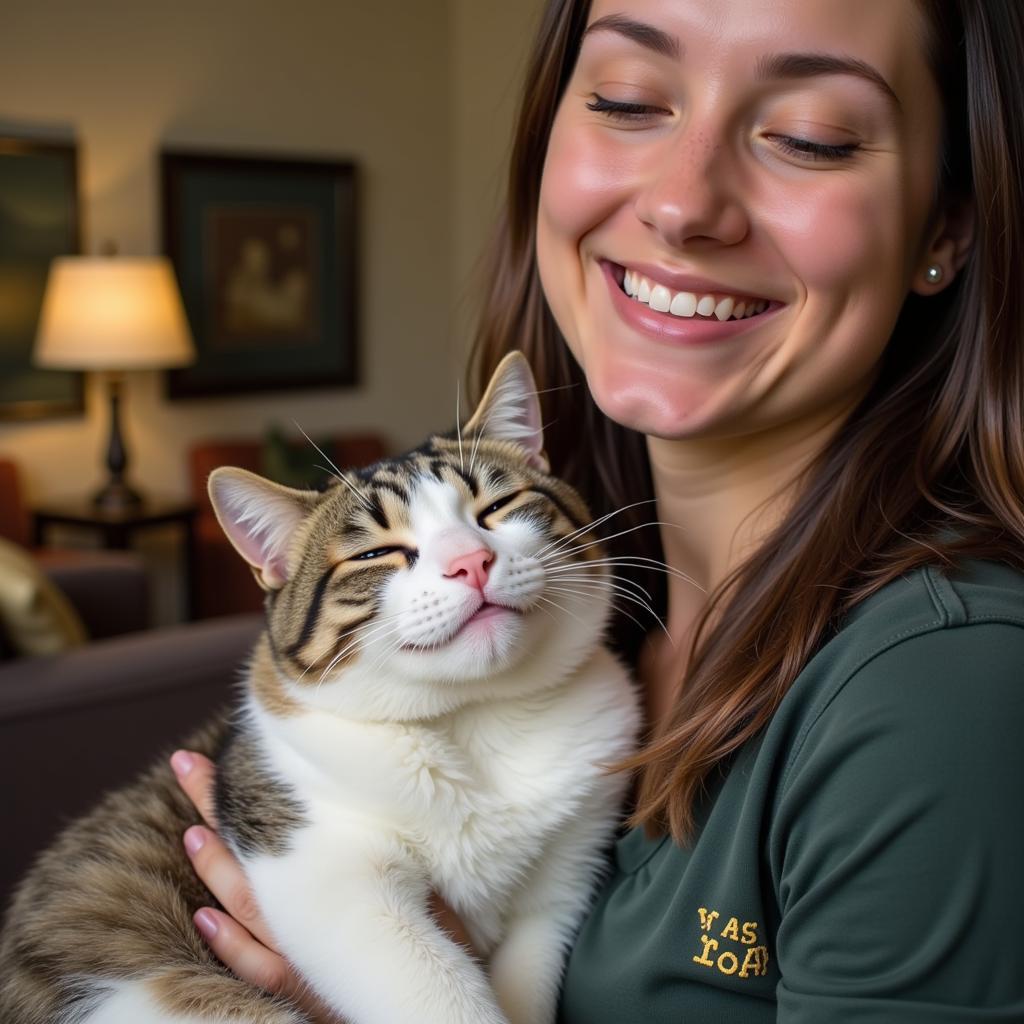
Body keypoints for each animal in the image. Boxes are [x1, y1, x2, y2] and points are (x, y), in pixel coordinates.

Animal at [0, 354, 638, 1024]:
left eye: (499, 506)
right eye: (378, 554)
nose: (471, 561)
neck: (476, 718)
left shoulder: (566, 872)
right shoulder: (321, 866)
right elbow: (433, 989)